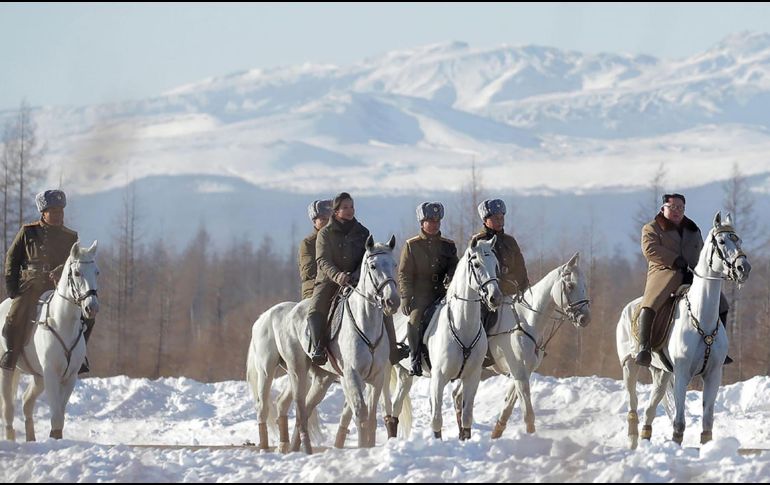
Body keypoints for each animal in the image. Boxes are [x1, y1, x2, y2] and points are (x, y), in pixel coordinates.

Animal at [0, 241, 99, 441]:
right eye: (77, 273)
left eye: (97, 272)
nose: (91, 307)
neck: (62, 323)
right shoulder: (51, 375)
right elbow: (56, 416)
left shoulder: (69, 377)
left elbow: (60, 415)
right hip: (7, 370)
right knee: (8, 408)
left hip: (38, 377)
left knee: (26, 402)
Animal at [273, 235, 399, 453]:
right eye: (373, 266)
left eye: (394, 264)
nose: (392, 301)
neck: (367, 323)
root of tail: (289, 312)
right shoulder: (352, 375)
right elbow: (361, 415)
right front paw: (362, 450)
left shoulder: (376, 378)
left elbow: (372, 418)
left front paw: (370, 448)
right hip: (298, 371)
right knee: (300, 409)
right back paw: (304, 449)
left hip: (322, 379)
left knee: (306, 407)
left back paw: (296, 448)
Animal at [617, 212, 750, 448]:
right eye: (722, 241)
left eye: (739, 240)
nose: (744, 268)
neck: (702, 318)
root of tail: (630, 306)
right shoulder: (682, 373)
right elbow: (679, 422)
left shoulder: (713, 374)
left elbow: (707, 422)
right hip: (630, 366)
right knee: (633, 405)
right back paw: (633, 442)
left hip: (661, 373)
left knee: (650, 410)